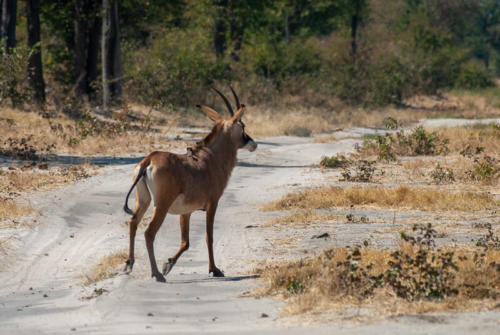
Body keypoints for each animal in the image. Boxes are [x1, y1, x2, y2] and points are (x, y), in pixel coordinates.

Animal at [122, 90, 256, 284]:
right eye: (242, 126)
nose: (253, 143)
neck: (212, 158)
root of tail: (149, 159)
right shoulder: (213, 204)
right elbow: (209, 237)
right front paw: (214, 270)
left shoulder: (186, 212)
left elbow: (185, 242)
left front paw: (168, 264)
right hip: (161, 206)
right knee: (149, 233)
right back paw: (156, 274)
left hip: (143, 201)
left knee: (133, 223)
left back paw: (129, 264)